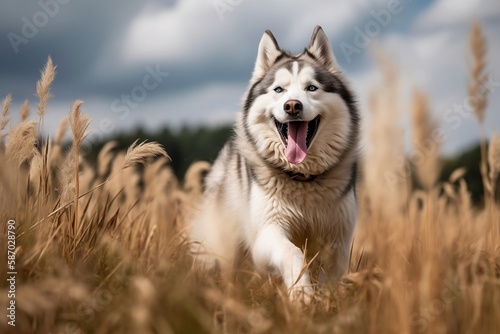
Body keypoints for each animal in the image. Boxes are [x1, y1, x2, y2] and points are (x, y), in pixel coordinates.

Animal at [190, 26, 360, 302]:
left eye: (311, 88)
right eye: (279, 90)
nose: (292, 105)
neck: (302, 179)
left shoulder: (338, 240)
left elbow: (329, 275)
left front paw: (324, 301)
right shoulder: (266, 233)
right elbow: (292, 253)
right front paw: (302, 294)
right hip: (222, 246)